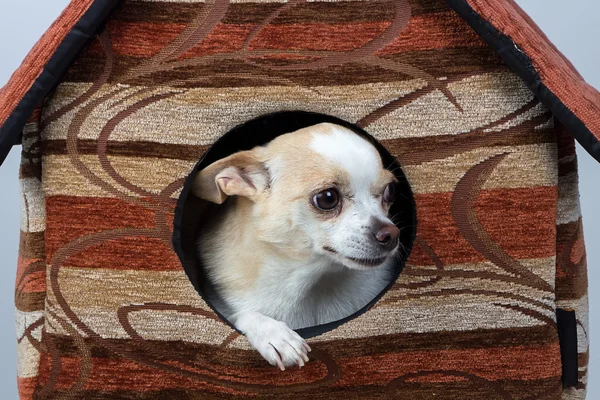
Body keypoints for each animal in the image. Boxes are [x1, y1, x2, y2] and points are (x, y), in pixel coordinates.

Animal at [192, 122, 398, 372]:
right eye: (327, 198)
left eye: (390, 191)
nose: (391, 234)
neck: (312, 285)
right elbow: (241, 315)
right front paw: (275, 335)